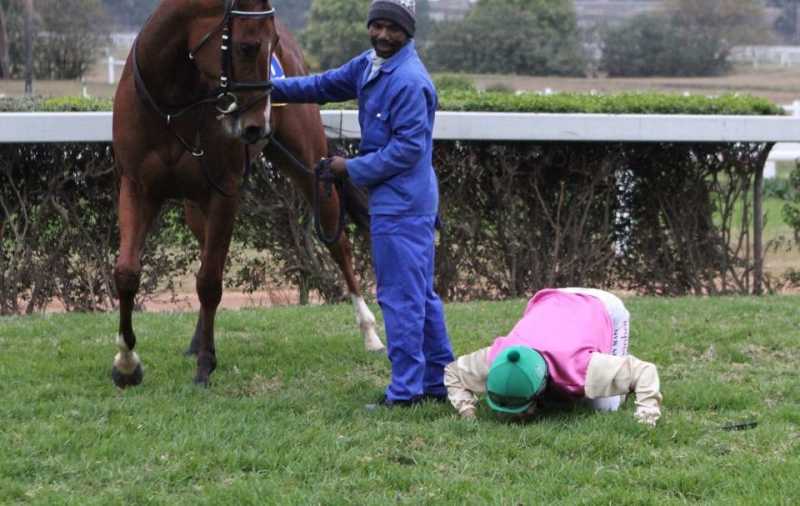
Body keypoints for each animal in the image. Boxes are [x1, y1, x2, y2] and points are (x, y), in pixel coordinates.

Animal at [111, 0, 384, 388]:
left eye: (271, 45)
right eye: (247, 47)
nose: (258, 125)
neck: (171, 106)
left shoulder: (224, 193)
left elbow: (210, 281)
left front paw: (206, 365)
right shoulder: (137, 187)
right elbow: (127, 273)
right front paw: (126, 363)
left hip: (309, 166)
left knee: (339, 244)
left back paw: (369, 331)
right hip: (195, 205)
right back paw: (195, 340)